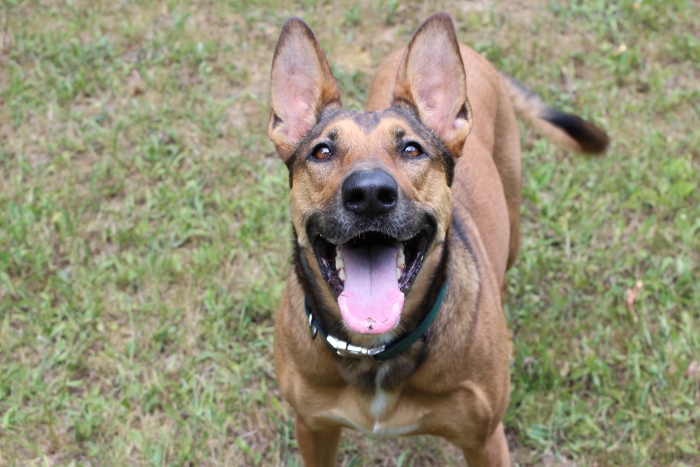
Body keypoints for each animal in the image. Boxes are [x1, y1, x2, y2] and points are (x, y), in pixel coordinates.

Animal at [268, 11, 608, 467]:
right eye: (321, 152)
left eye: (412, 150)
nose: (370, 194)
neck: (375, 353)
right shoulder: (313, 428)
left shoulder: (485, 441)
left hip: (514, 223)